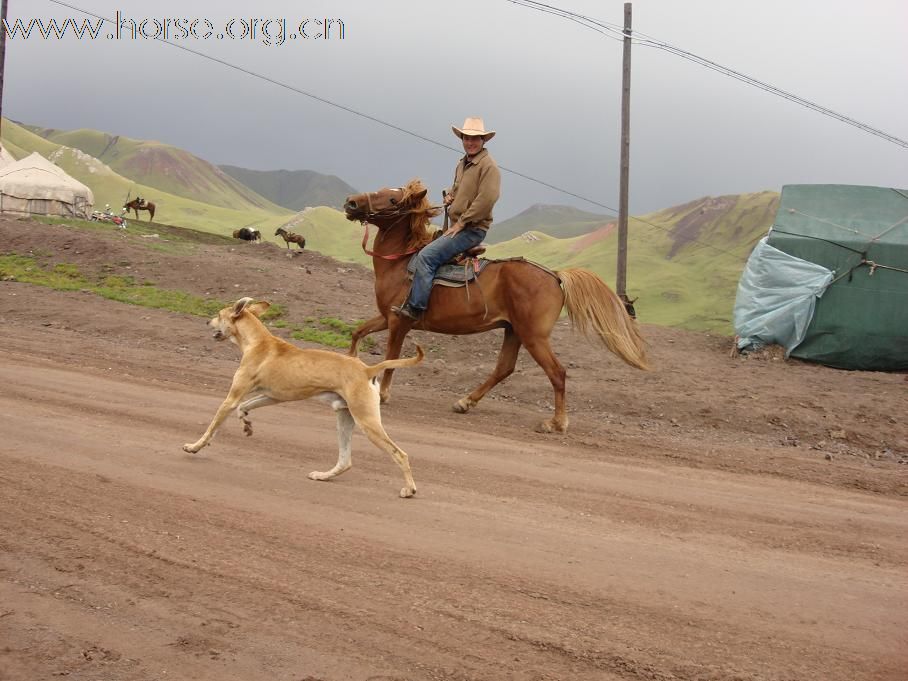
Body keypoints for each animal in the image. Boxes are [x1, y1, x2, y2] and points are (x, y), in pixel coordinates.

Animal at [186, 294, 428, 496]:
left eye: (219, 315)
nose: (207, 322)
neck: (258, 342)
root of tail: (367, 369)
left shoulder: (232, 398)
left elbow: (212, 427)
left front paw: (194, 446)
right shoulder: (272, 396)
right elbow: (244, 407)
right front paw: (246, 424)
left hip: (367, 422)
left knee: (399, 454)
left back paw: (409, 489)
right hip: (345, 419)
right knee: (345, 461)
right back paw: (323, 475)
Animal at [344, 177, 648, 430]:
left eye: (393, 200)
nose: (352, 202)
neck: (401, 262)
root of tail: (555, 276)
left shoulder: (400, 321)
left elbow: (391, 358)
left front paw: (383, 394)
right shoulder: (386, 317)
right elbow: (358, 332)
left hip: (534, 336)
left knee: (557, 372)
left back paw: (556, 423)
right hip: (513, 331)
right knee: (505, 368)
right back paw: (465, 401)